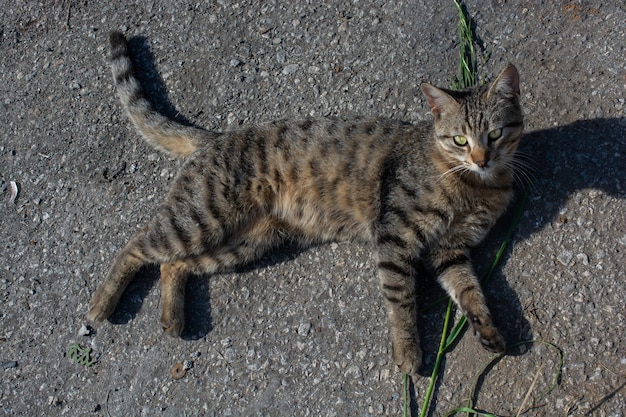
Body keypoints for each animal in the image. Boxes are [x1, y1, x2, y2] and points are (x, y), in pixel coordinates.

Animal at [85, 30, 520, 378]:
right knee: (137, 244)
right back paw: (102, 303)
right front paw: (409, 350)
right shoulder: (396, 235)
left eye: (496, 134)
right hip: (198, 220)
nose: (482, 158)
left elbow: (470, 291)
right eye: (460, 140)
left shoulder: (450, 249)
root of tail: (216, 137)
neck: (475, 185)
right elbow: (401, 298)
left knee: (173, 265)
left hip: (243, 244)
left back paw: (172, 317)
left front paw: (488, 329)